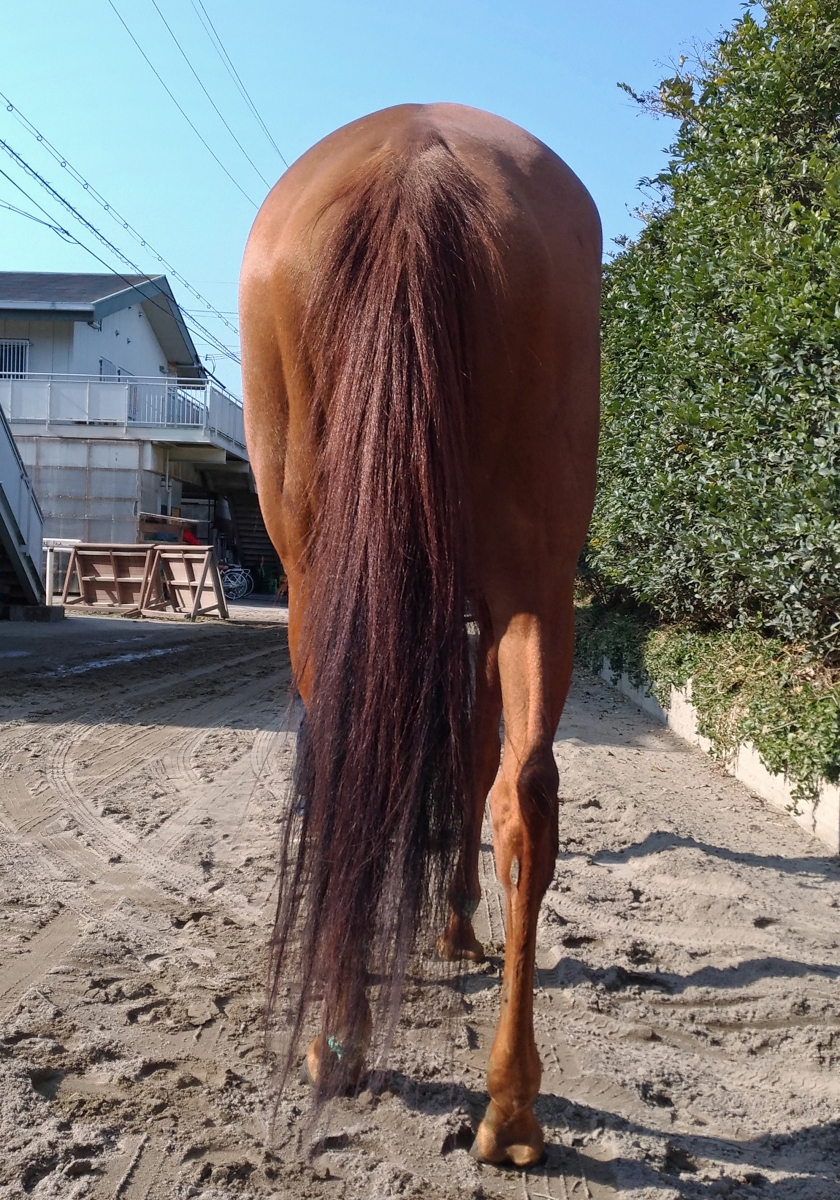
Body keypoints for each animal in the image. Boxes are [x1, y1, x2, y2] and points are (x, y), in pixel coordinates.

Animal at [240, 102, 600, 1168]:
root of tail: (419, 161)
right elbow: (478, 761)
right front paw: (454, 925)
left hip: (324, 578)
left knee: (361, 760)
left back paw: (343, 1041)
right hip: (534, 588)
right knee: (527, 796)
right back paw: (510, 1111)